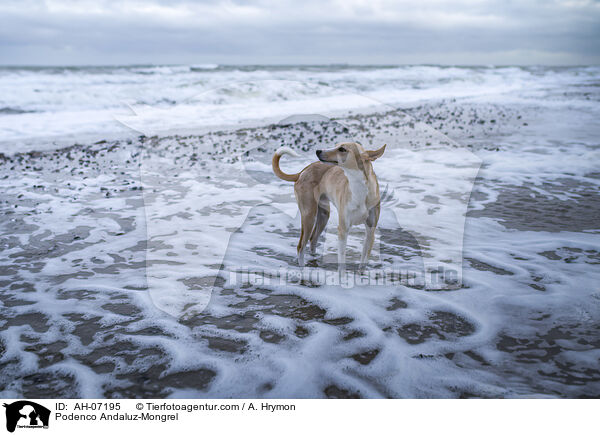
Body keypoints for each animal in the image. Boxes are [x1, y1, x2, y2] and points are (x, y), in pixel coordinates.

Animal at [270, 142, 384, 272]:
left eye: (342, 149)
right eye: (337, 145)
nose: (318, 151)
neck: (358, 187)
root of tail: (303, 171)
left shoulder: (370, 231)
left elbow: (363, 262)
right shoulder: (343, 229)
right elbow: (342, 260)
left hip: (324, 216)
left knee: (313, 240)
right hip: (309, 216)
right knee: (300, 247)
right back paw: (303, 269)